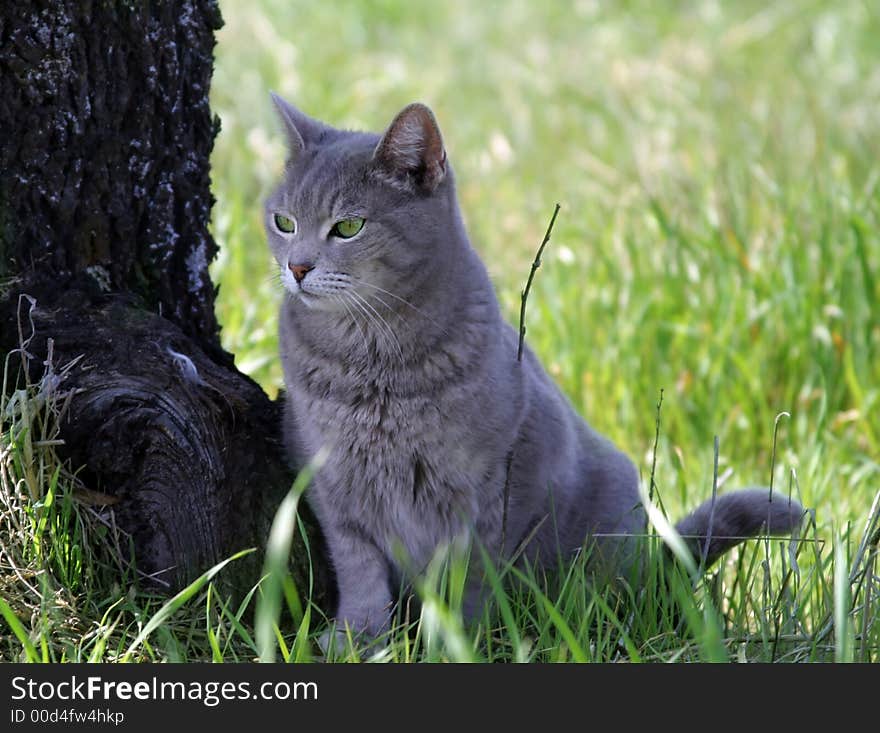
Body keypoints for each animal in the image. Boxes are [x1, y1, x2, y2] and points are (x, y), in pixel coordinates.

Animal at [262, 94, 804, 644]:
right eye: (284, 222)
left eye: (348, 227)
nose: (298, 267)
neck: (371, 362)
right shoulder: (328, 481)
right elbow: (359, 568)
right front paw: (359, 637)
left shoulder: (500, 484)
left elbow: (468, 576)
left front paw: (456, 639)